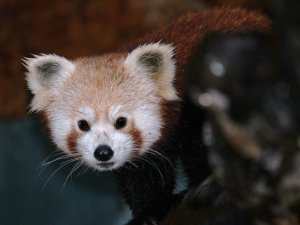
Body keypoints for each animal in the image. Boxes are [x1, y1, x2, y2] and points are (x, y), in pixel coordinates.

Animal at [24, 7, 270, 225]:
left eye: (121, 121)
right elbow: (143, 178)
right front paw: (148, 213)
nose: (103, 153)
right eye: (83, 124)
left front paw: (209, 186)